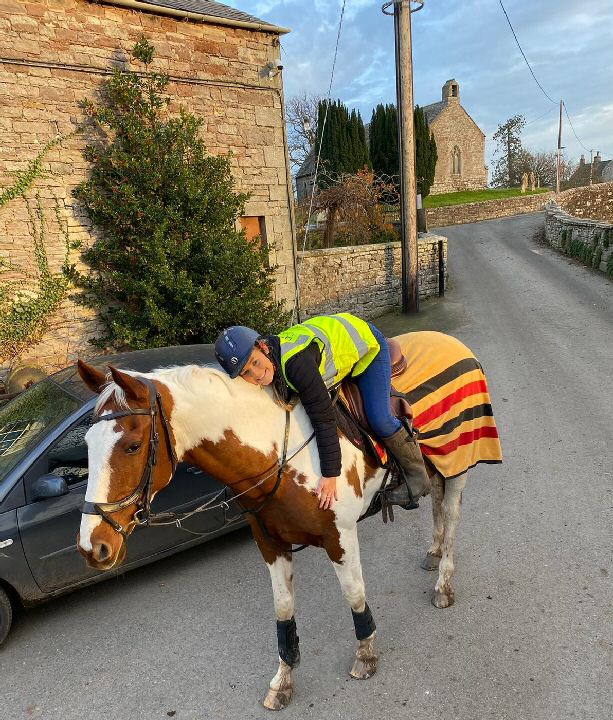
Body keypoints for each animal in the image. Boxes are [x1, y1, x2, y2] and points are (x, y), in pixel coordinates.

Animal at [76, 330, 500, 708]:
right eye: (86, 446)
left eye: (132, 446)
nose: (92, 545)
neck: (280, 451)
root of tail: (452, 340)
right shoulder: (271, 543)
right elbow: (283, 609)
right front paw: (283, 680)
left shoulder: (339, 536)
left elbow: (354, 594)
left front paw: (365, 653)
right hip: (435, 465)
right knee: (436, 503)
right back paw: (433, 552)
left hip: (458, 458)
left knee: (451, 512)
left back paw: (443, 582)